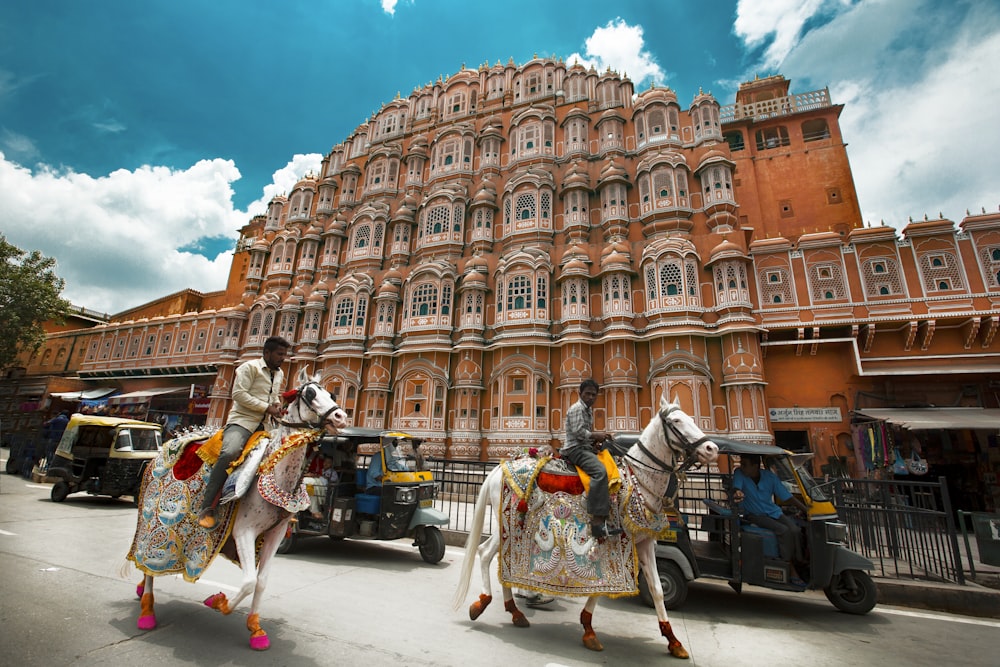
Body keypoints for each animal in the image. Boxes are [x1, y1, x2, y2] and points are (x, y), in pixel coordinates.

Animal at [125, 368, 348, 648]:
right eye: (309, 394)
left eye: (332, 394)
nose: (341, 417)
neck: (278, 476)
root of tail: (164, 447)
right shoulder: (243, 530)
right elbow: (249, 581)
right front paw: (219, 602)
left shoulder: (276, 532)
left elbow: (261, 582)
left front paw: (255, 629)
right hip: (150, 518)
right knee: (147, 561)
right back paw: (146, 610)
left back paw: (140, 590)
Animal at [454, 400, 720, 660]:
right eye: (676, 421)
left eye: (691, 418)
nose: (711, 449)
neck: (638, 481)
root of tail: (499, 468)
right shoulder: (614, 540)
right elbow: (606, 584)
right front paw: (589, 630)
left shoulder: (643, 542)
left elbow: (656, 589)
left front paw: (673, 640)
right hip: (508, 523)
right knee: (485, 553)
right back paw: (483, 603)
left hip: (507, 526)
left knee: (496, 557)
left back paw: (514, 611)